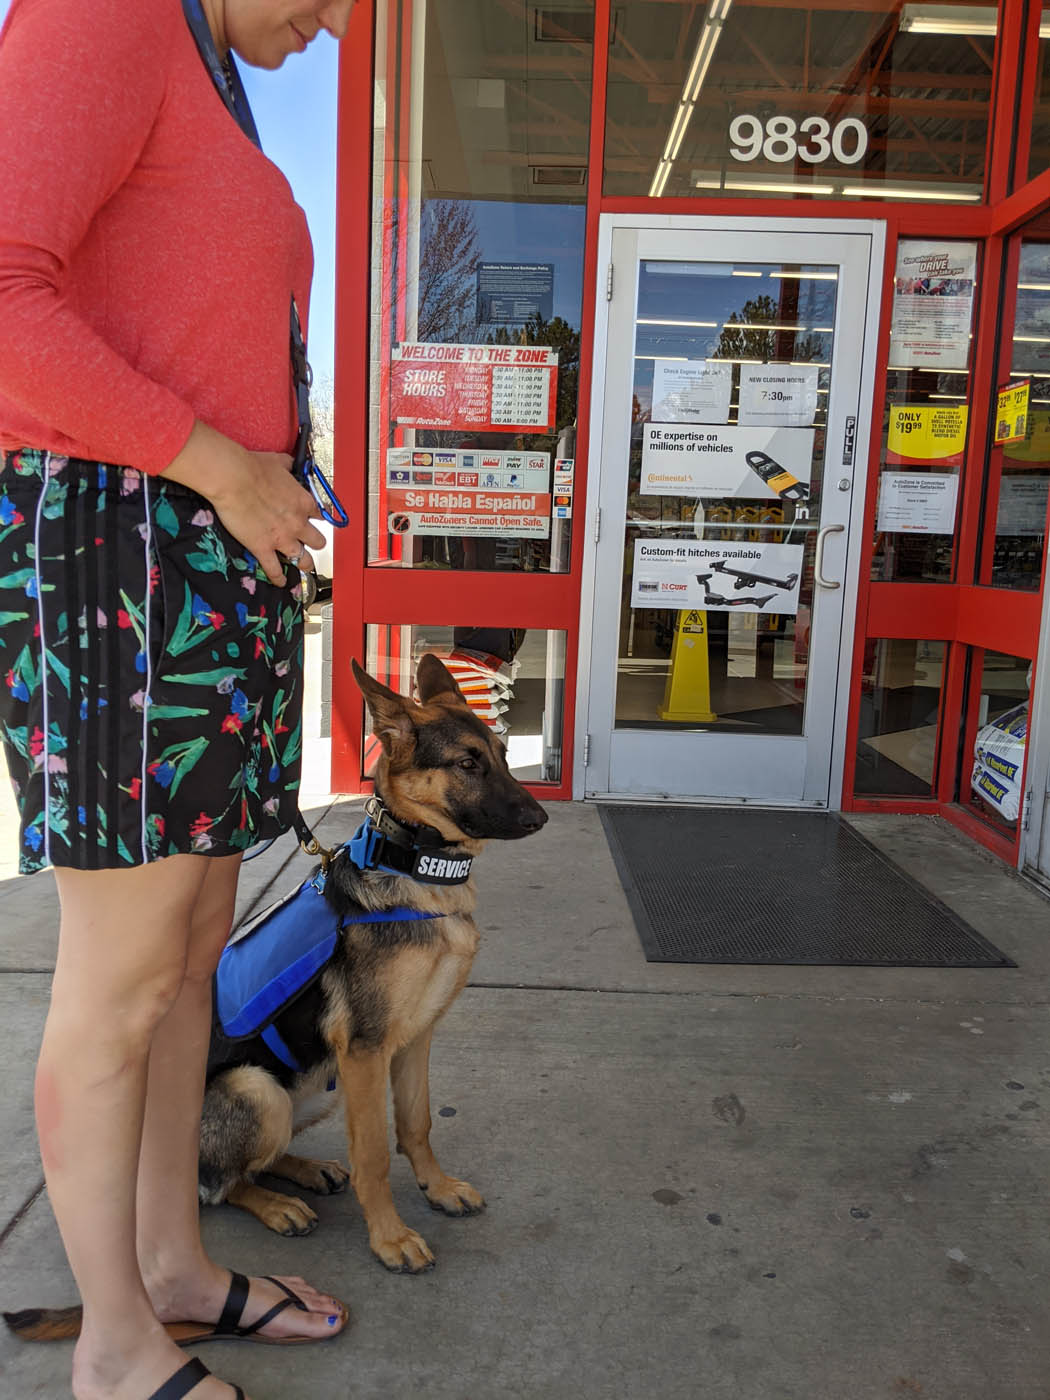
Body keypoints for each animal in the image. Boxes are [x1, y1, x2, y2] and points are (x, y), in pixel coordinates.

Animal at [196, 652, 551, 1271]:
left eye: (505, 758)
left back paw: (307, 1171)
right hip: (261, 1090)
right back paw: (276, 1205)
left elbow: (417, 1123)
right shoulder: (365, 1051)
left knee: (265, 1157)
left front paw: (437, 1188)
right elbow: (375, 1155)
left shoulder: (415, 1038)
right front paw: (390, 1237)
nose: (540, 818)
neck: (418, 868)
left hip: (315, 1086)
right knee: (223, 1184)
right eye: (467, 763)